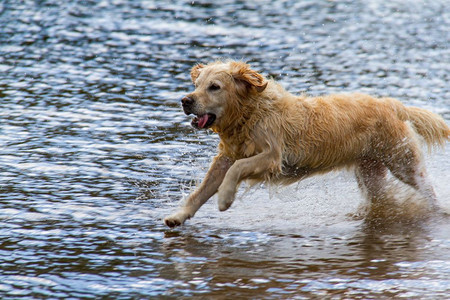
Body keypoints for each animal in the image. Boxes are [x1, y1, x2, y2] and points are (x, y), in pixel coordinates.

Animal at [163, 60, 448, 227]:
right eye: (196, 84)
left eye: (214, 87)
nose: (185, 100)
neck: (251, 113)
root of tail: (392, 104)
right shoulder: (226, 157)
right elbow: (202, 190)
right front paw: (179, 215)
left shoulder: (272, 157)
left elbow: (237, 169)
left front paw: (225, 198)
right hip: (370, 173)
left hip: (403, 163)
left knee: (427, 188)